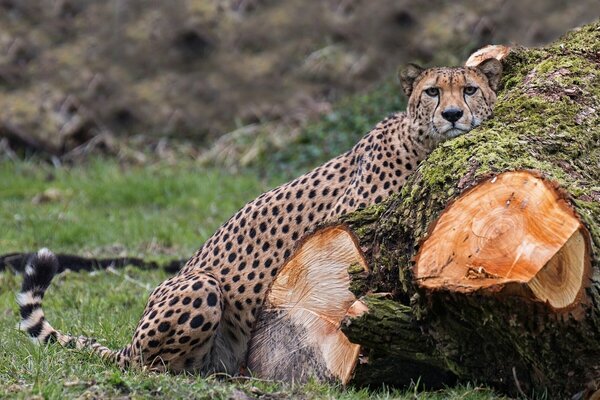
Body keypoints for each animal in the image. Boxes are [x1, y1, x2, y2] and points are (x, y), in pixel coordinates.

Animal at [16, 58, 502, 376]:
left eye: (470, 89)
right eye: (433, 91)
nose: (453, 114)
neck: (420, 143)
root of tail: (128, 344)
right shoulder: (346, 225)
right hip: (200, 286)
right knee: (150, 366)